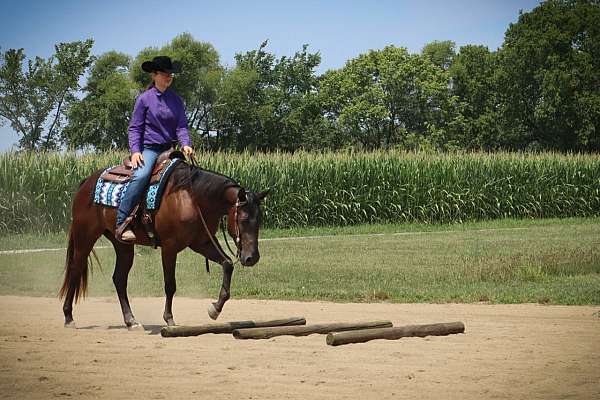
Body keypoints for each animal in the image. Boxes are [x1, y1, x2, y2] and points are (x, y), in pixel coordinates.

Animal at [59, 155, 270, 328]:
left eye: (259, 219)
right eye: (243, 219)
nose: (252, 258)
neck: (192, 198)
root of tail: (86, 183)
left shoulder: (201, 243)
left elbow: (227, 264)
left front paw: (215, 309)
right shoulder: (169, 247)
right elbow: (170, 284)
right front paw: (169, 318)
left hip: (123, 246)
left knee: (119, 278)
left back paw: (131, 320)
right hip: (85, 237)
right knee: (75, 270)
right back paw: (68, 317)